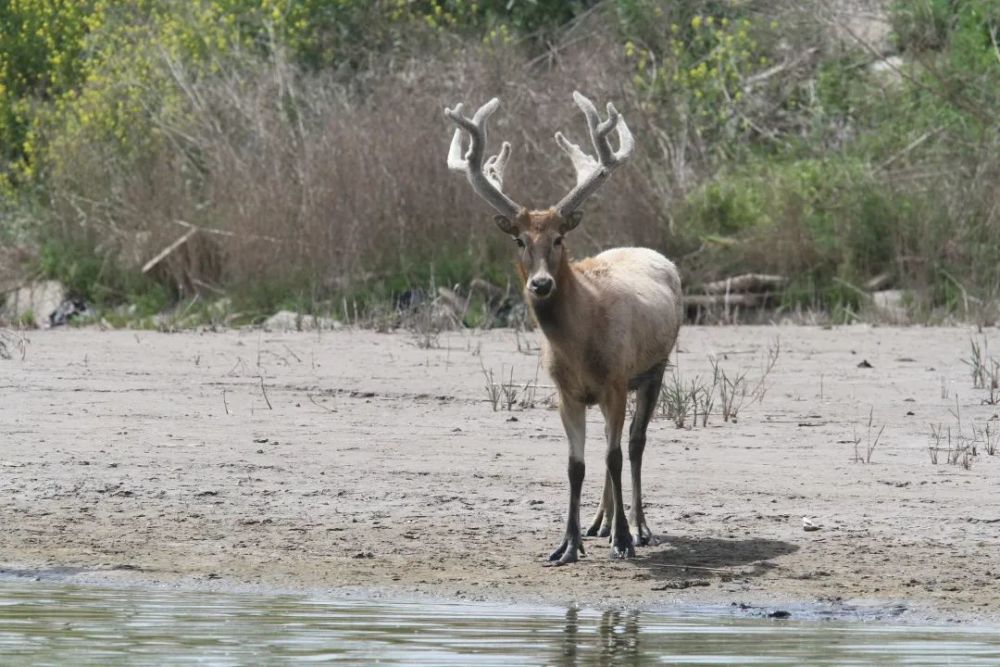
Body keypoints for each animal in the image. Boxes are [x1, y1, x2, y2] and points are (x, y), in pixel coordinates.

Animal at [444, 91, 680, 568]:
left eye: (558, 238)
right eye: (519, 239)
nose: (540, 284)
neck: (581, 345)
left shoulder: (613, 381)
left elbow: (613, 455)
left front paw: (624, 542)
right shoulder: (566, 393)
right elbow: (577, 465)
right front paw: (567, 544)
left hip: (654, 368)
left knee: (634, 444)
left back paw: (639, 528)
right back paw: (599, 523)